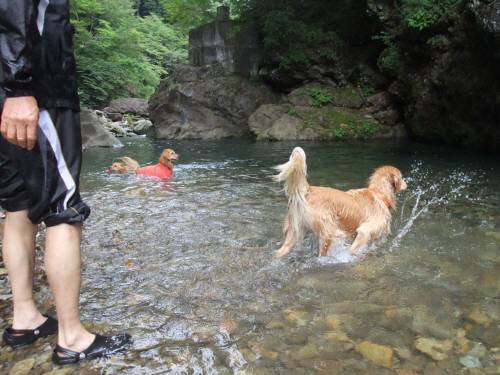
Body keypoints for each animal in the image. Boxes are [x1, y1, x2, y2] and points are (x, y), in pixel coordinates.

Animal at [274, 148, 406, 258]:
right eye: (402, 177)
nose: (406, 183)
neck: (378, 194)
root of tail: (309, 190)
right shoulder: (365, 231)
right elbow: (352, 250)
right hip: (330, 233)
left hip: (294, 231)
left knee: (280, 252)